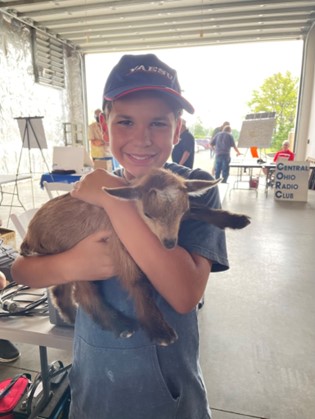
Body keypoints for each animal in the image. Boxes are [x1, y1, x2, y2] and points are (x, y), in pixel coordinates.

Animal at [21, 169, 251, 346]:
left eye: (181, 210)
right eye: (148, 214)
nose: (169, 244)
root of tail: (30, 236)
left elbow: (198, 209)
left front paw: (234, 219)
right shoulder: (118, 240)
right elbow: (137, 281)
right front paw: (159, 330)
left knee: (60, 288)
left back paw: (68, 314)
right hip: (74, 257)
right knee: (84, 294)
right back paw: (120, 324)